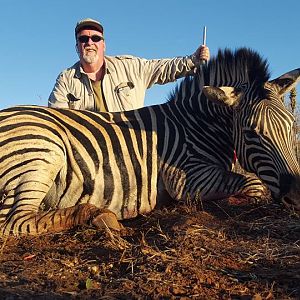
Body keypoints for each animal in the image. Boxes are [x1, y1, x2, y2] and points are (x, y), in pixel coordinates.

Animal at [0, 48, 298, 236]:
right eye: (251, 132)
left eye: (290, 126)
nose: (296, 193)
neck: (198, 123)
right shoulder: (187, 179)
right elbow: (254, 184)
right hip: (41, 153)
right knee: (14, 222)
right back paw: (99, 216)